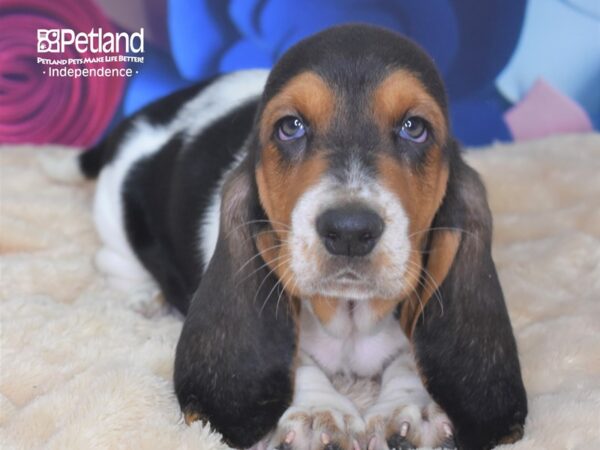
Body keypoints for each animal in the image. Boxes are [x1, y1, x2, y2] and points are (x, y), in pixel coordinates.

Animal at [79, 24, 524, 450]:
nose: (349, 231)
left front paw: (412, 410)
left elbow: (408, 357)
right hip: (114, 217)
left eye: (414, 128)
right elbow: (298, 361)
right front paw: (317, 413)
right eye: (290, 127)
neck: (348, 316)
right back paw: (145, 298)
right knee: (114, 262)